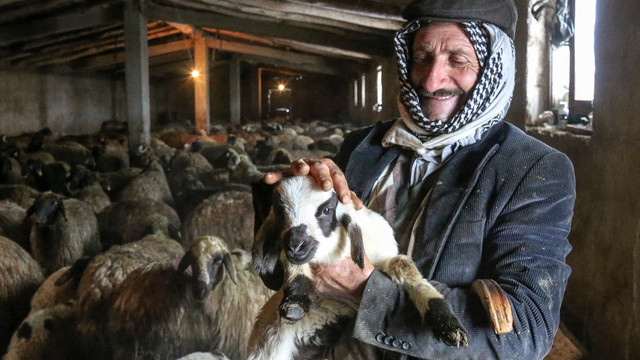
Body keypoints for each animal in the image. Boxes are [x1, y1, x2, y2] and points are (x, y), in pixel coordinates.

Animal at [249, 176, 464, 358]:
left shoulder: (384, 257)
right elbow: (296, 269)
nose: (295, 245)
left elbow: (403, 266)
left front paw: (448, 325)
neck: (332, 254)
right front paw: (294, 303)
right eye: (280, 211)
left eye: (326, 210)